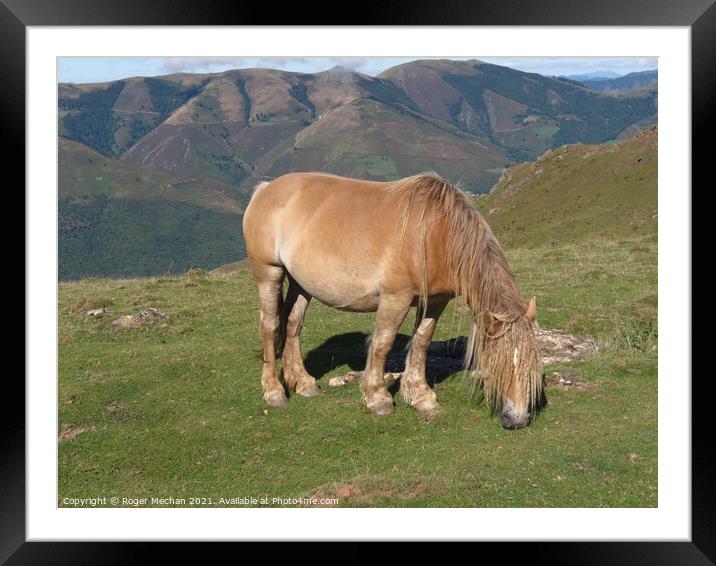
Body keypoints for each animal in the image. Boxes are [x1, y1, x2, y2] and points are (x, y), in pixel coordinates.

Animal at [241, 173, 544, 430]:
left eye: (531, 365)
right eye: (501, 363)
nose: (517, 420)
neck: (434, 234)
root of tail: (264, 189)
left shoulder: (435, 302)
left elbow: (421, 343)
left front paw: (420, 395)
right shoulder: (395, 299)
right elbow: (382, 345)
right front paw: (378, 398)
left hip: (301, 284)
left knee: (293, 324)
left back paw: (303, 383)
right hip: (269, 273)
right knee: (270, 326)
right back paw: (274, 391)